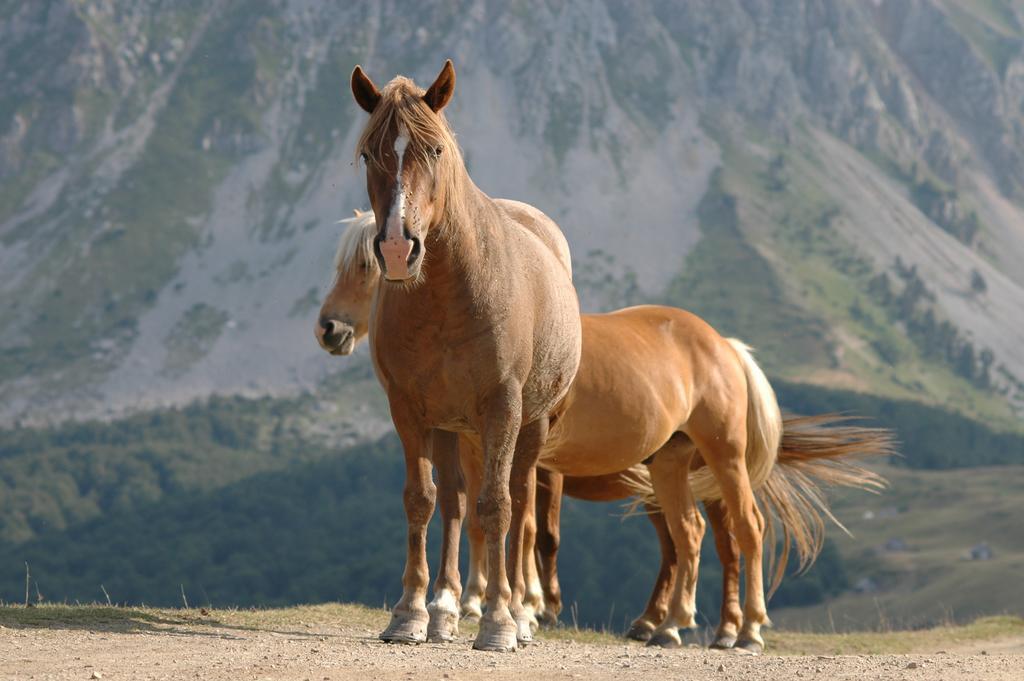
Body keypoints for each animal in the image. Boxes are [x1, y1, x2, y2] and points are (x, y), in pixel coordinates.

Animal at [339, 63, 585, 655]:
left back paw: (519, 612)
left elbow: (496, 506)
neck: (448, 295)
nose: (398, 249)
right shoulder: (407, 409)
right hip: (451, 427)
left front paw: (498, 620)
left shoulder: (502, 408)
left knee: (520, 508)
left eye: (434, 150)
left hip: (531, 427)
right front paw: (411, 612)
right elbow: (422, 499)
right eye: (370, 153)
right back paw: (446, 609)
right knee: (453, 504)